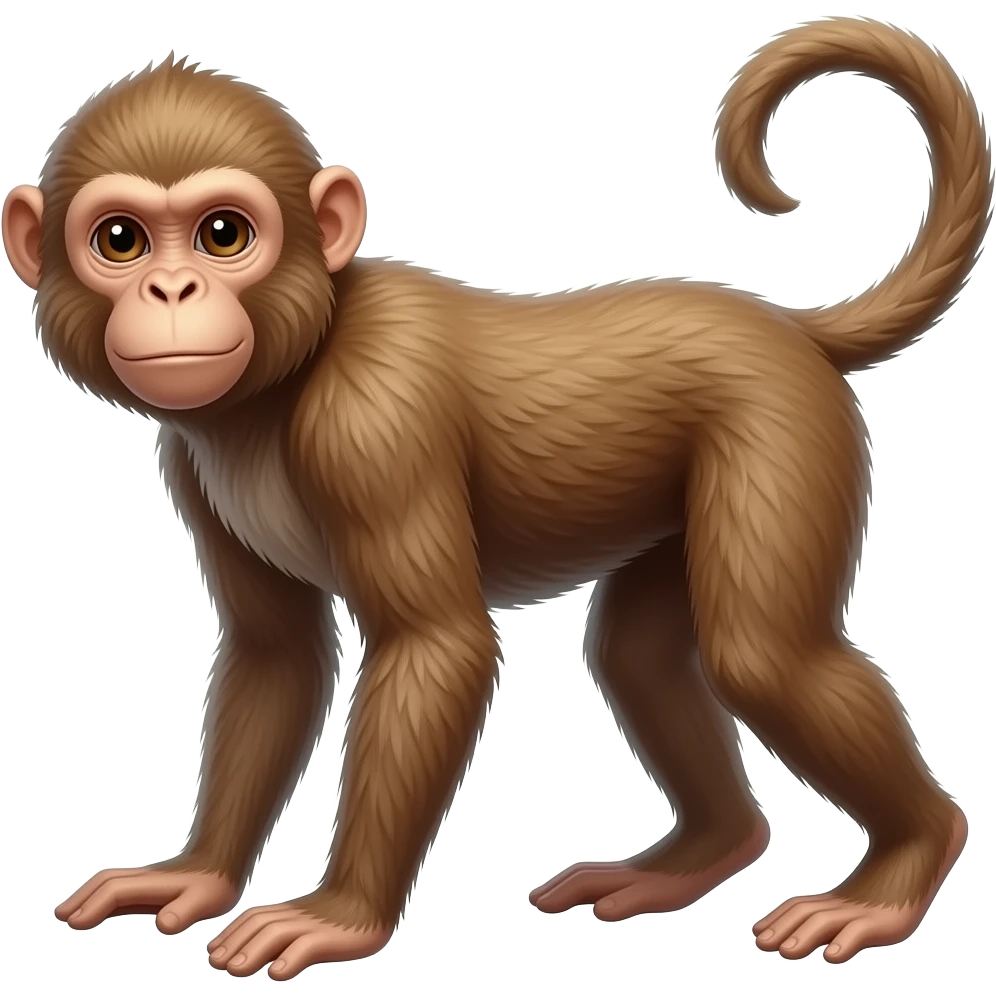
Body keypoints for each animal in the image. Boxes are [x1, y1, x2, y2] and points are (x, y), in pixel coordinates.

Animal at [2, 14, 989, 980]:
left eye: (223, 235)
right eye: (121, 240)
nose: (173, 290)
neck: (285, 377)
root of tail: (788, 327)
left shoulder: (374, 419)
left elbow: (437, 646)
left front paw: (340, 916)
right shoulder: (189, 457)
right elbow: (275, 654)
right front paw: (198, 875)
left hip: (781, 430)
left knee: (762, 654)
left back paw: (901, 868)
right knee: (638, 655)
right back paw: (700, 854)